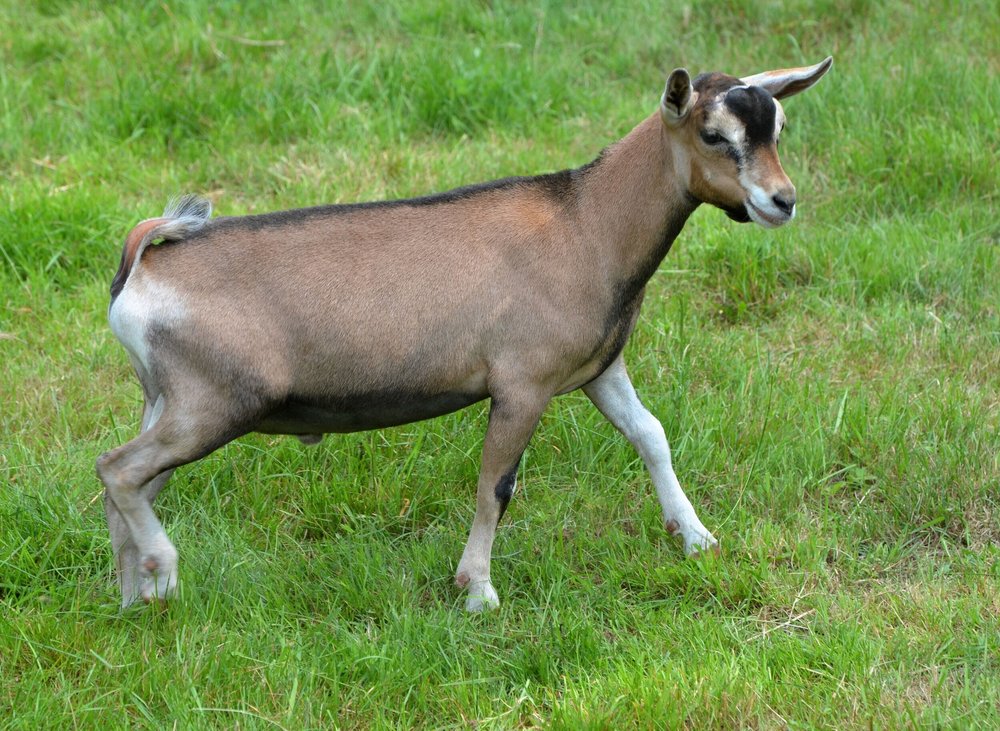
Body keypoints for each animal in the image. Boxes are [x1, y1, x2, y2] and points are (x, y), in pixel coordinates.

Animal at [98, 57, 832, 611]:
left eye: (778, 126)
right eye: (714, 135)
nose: (782, 201)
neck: (587, 223)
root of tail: (142, 270)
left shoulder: (599, 369)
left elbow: (651, 435)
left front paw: (697, 539)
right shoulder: (523, 383)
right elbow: (496, 485)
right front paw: (477, 590)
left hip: (168, 401)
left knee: (123, 487)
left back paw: (137, 598)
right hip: (213, 403)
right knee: (119, 469)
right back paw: (164, 569)